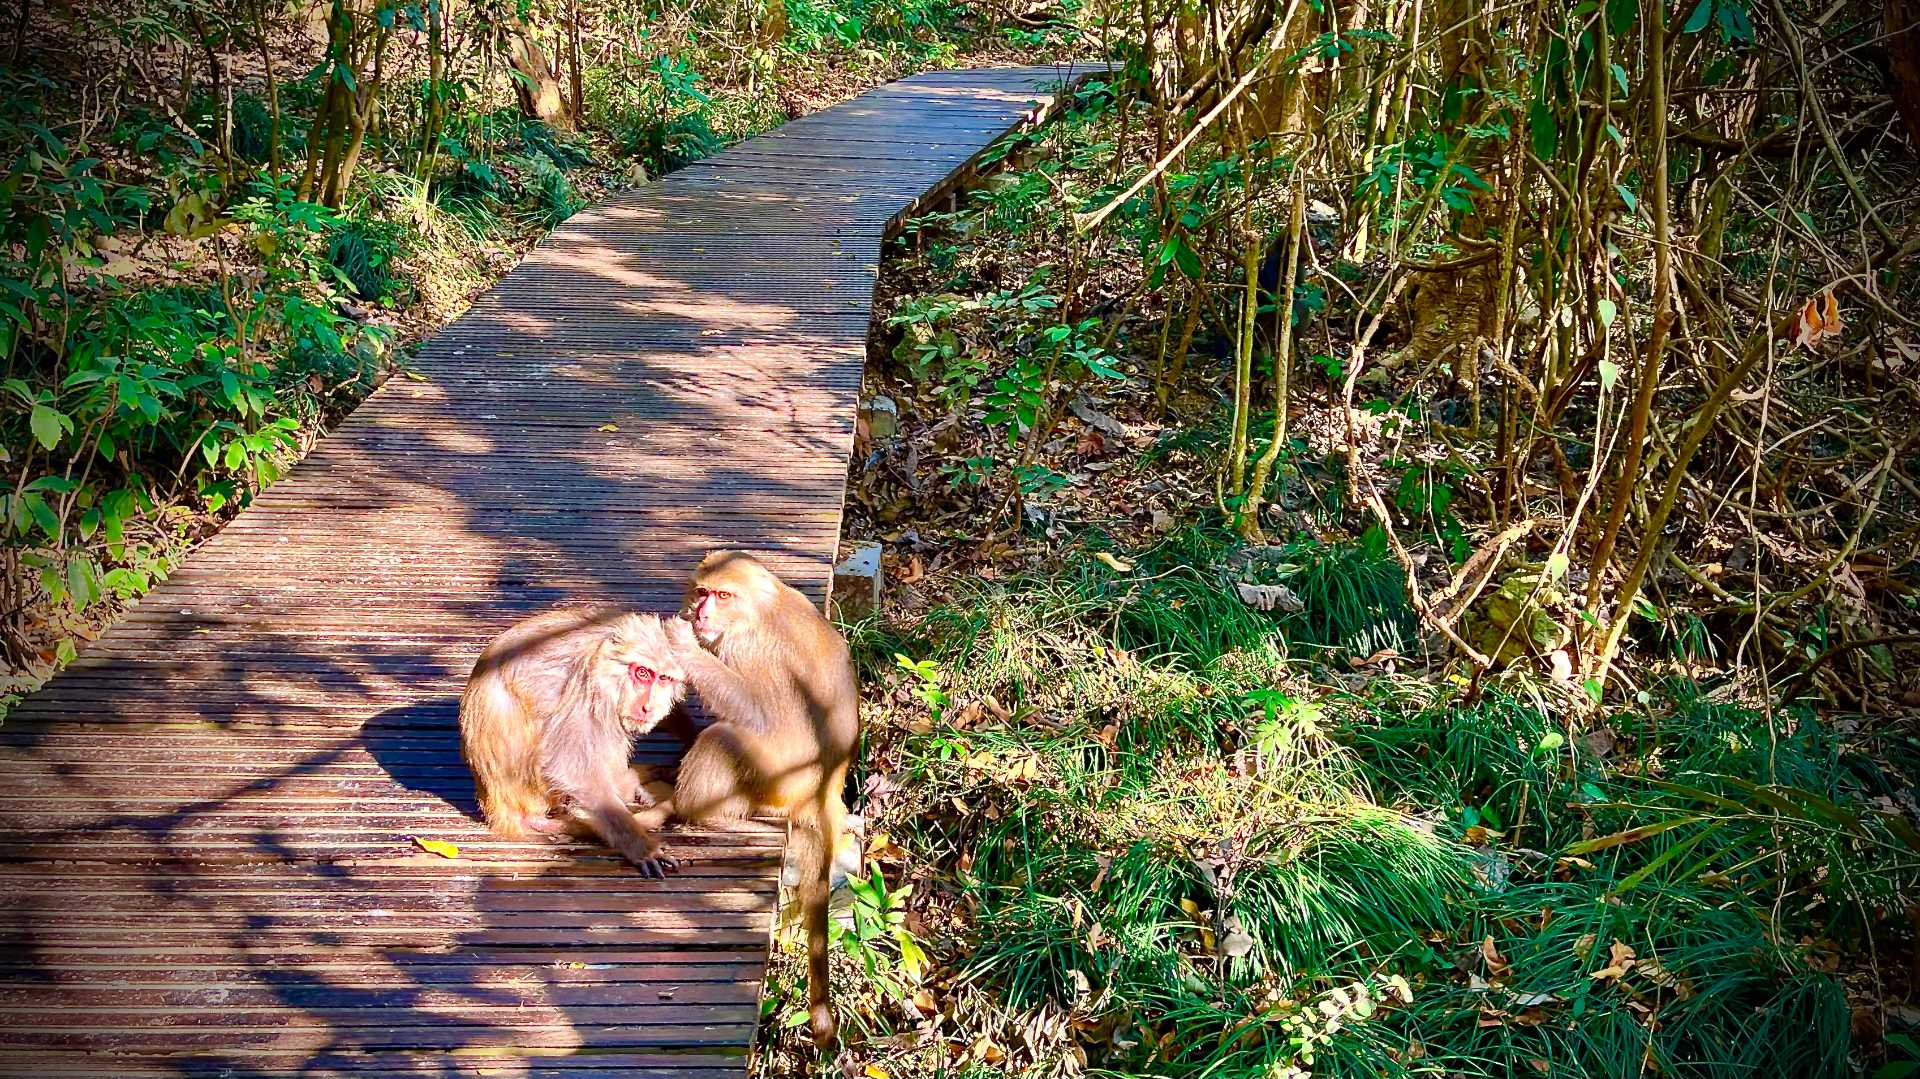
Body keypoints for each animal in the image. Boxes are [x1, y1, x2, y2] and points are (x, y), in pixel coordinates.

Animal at [459, 608, 687, 878]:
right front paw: (640, 847)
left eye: (663, 679)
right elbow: (569, 768)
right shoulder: (585, 687)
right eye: (642, 673)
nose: (647, 706)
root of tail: (500, 808)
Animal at [641, 551, 860, 1047]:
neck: (760, 610)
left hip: (773, 782)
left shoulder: (747, 649)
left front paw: (684, 646)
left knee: (726, 735)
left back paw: (681, 808)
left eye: (723, 596)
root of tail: (824, 791)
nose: (701, 612)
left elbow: (754, 713)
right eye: (703, 592)